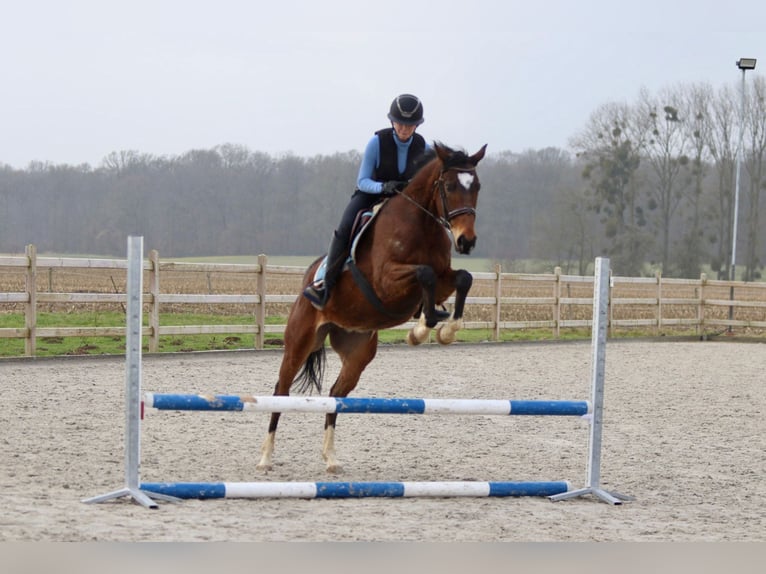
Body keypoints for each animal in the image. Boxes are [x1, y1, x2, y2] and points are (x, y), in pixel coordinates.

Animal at [258, 142, 486, 474]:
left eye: (477, 186)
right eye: (450, 186)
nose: (466, 241)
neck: (422, 224)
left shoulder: (444, 278)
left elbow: (463, 278)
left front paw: (445, 328)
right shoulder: (386, 281)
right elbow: (425, 274)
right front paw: (422, 328)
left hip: (357, 351)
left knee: (335, 395)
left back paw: (331, 458)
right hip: (299, 342)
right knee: (280, 392)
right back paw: (266, 457)